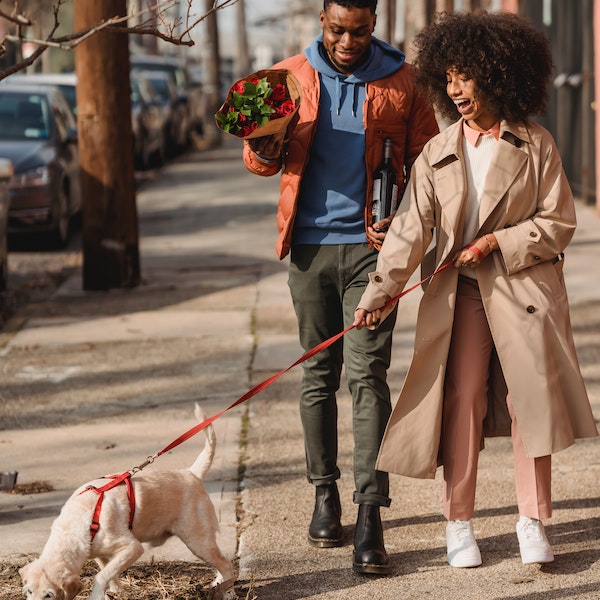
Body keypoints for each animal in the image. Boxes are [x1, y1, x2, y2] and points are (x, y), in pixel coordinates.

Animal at [19, 404, 234, 600]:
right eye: (28, 591)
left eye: (49, 595)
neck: (77, 523)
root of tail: (192, 473)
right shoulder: (101, 554)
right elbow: (108, 573)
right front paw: (115, 592)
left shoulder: (132, 548)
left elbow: (101, 576)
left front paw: (97, 595)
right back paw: (217, 583)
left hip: (198, 541)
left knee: (226, 564)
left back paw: (226, 591)